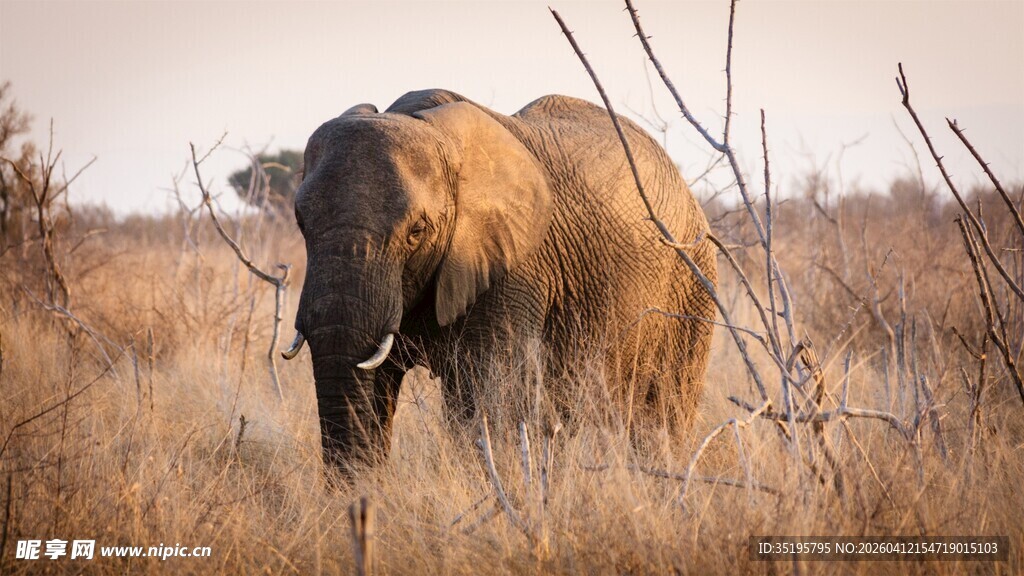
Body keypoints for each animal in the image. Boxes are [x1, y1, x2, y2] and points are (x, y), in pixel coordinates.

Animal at [282, 89, 717, 473]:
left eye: (417, 231)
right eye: (300, 222)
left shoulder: (515, 269)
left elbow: (487, 400)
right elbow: (374, 383)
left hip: (693, 286)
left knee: (663, 414)